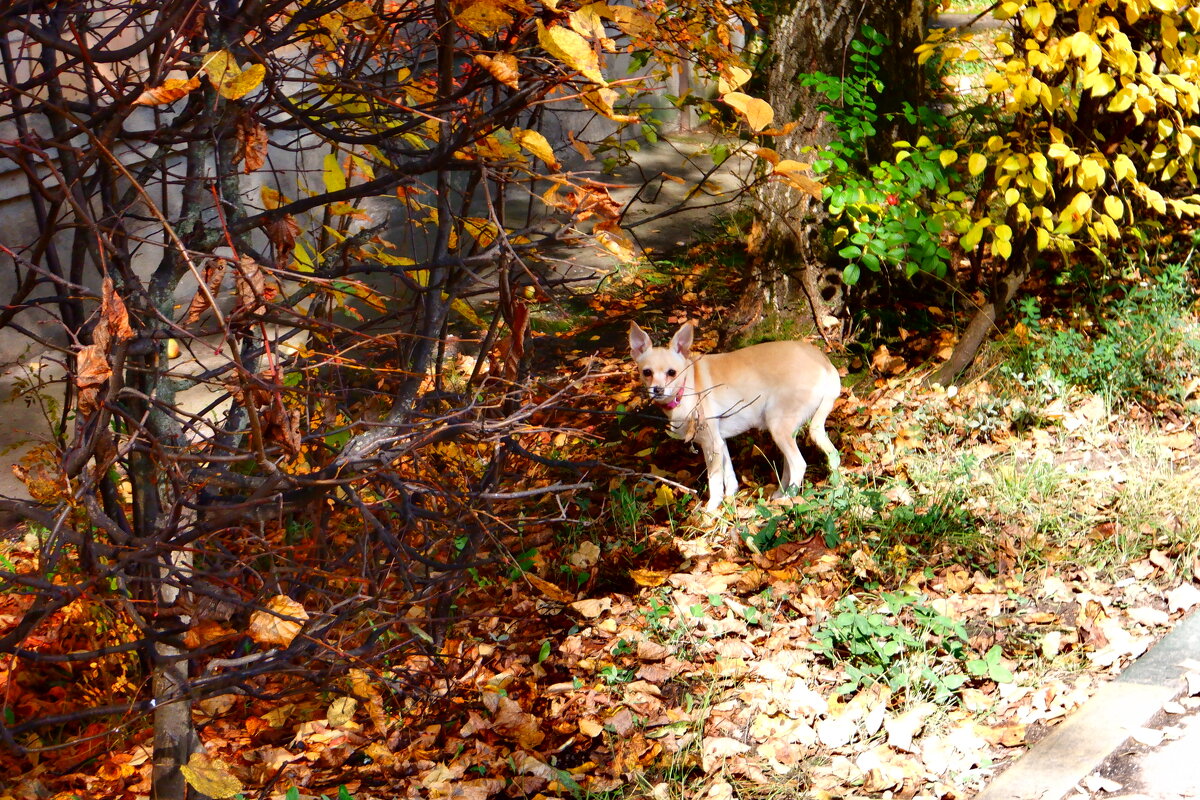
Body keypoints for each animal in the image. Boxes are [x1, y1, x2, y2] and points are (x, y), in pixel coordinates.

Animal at [633, 321, 840, 513]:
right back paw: (783, 493)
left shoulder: (711, 445)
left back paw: (788, 499)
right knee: (795, 463)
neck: (687, 387)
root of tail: (826, 363)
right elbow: (730, 476)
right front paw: (730, 499)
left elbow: (715, 480)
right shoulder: (719, 442)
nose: (658, 390)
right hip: (786, 430)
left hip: (778, 426)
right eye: (647, 372)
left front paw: (711, 509)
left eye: (672, 373)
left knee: (798, 464)